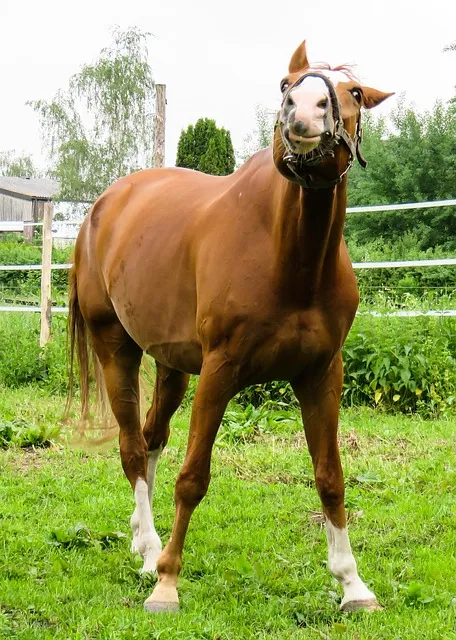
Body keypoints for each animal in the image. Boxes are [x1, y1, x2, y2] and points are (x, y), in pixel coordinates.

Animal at [68, 40, 393, 613]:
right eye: (285, 84)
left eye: (354, 93)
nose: (303, 113)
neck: (290, 259)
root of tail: (101, 209)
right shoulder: (220, 372)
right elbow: (193, 477)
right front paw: (168, 582)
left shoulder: (321, 375)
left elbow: (331, 478)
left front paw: (353, 585)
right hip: (115, 348)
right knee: (133, 448)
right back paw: (150, 552)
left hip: (172, 366)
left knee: (150, 440)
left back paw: (141, 538)